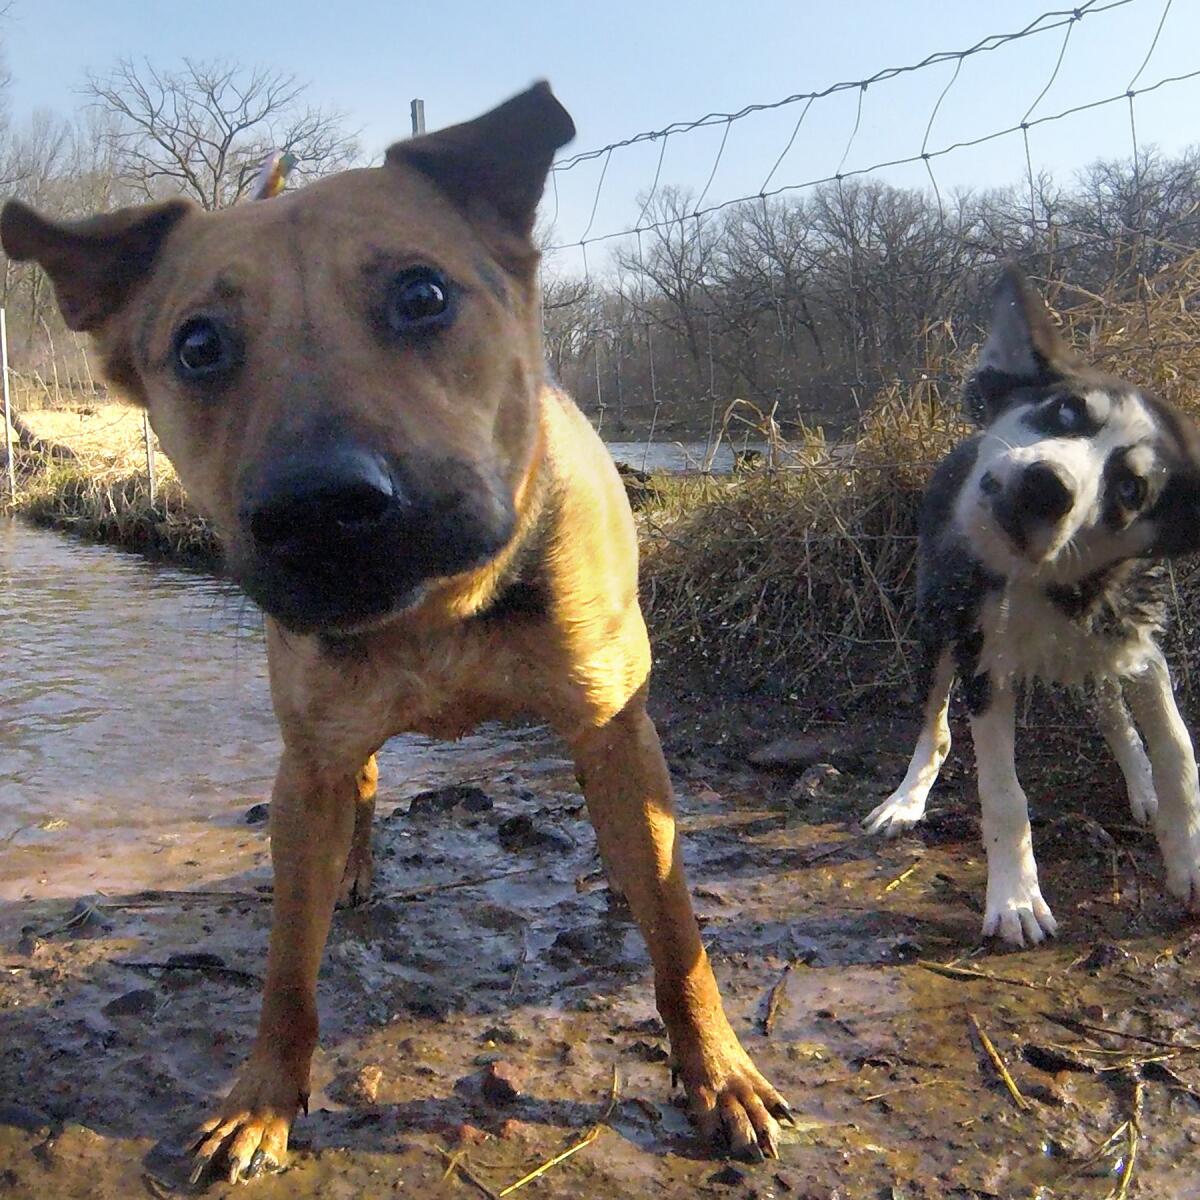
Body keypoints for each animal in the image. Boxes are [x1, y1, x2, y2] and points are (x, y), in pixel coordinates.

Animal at [4, 84, 792, 1180]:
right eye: (198, 345)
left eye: (423, 295)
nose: (321, 509)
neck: (439, 610)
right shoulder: (312, 759)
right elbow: (287, 968)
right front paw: (261, 1099)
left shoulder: (612, 725)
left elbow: (677, 936)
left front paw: (717, 1075)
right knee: (361, 797)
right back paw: (355, 867)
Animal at [868, 270, 1200, 945]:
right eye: (1064, 411)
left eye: (1131, 490)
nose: (1050, 486)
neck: (1050, 584)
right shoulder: (983, 666)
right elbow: (1003, 792)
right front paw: (1016, 900)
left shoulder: (1138, 645)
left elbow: (1177, 752)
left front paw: (1186, 853)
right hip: (936, 628)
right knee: (934, 727)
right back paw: (906, 801)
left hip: (1102, 653)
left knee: (1111, 712)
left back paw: (1140, 784)